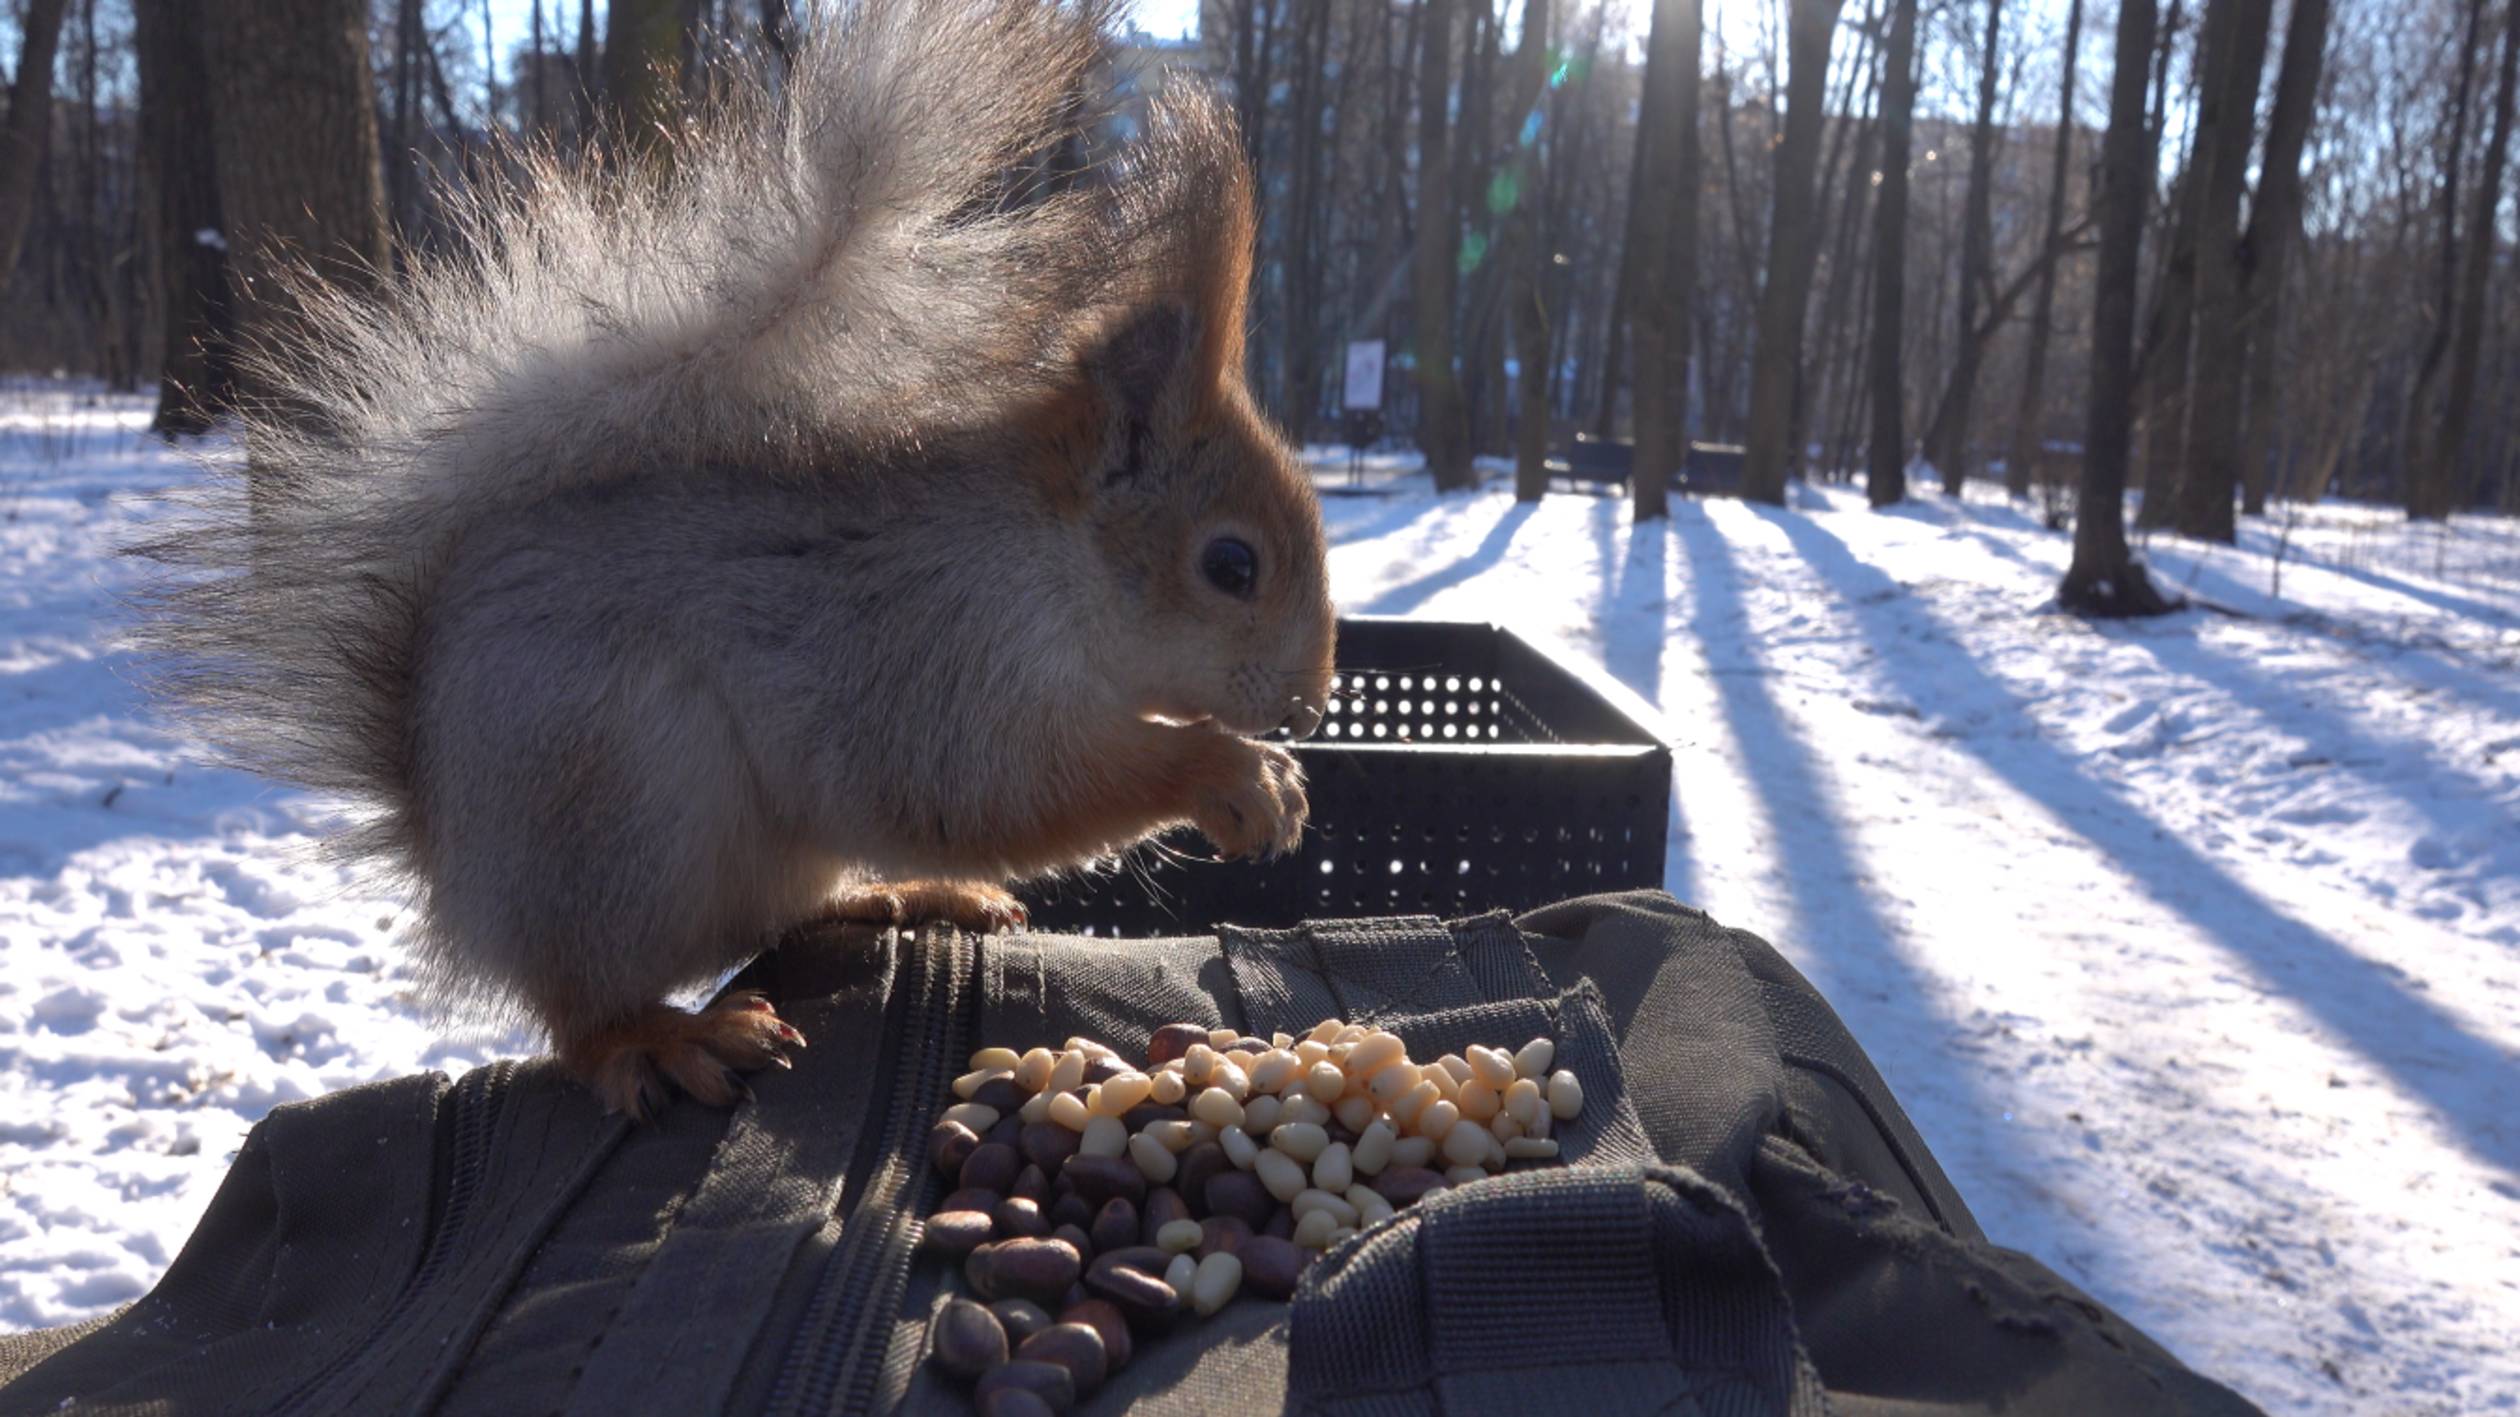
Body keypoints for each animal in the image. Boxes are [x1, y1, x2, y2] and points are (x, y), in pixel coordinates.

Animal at [137, 0, 1340, 1119]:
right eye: (1232, 566)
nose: (1313, 704)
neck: (1049, 557)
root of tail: (454, 858)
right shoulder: (929, 650)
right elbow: (997, 786)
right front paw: (1234, 774)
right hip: (619, 815)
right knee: (583, 1010)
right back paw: (663, 1036)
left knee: (775, 911)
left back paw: (904, 896)